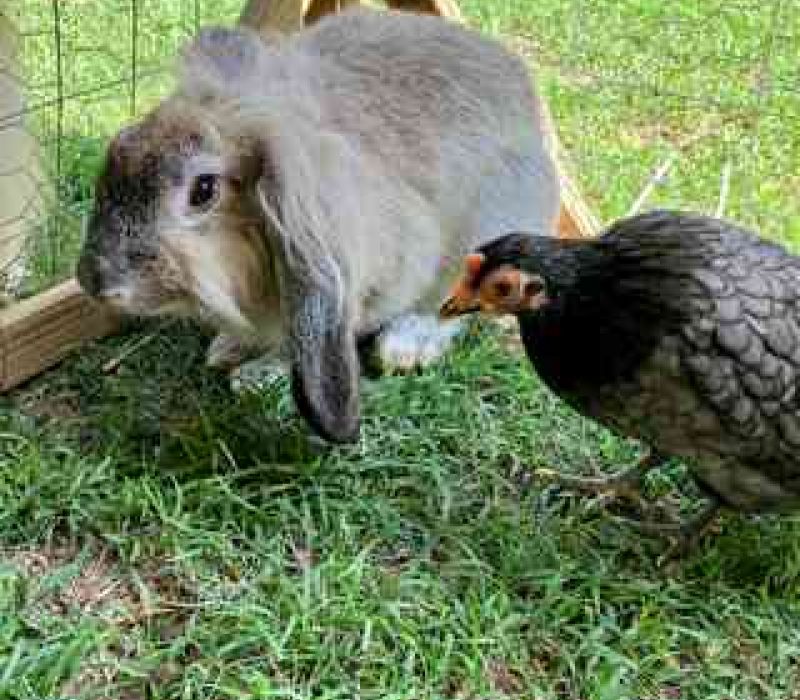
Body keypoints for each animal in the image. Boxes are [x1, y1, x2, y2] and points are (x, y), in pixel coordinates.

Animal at [76, 7, 560, 443]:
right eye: (121, 145)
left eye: (204, 190)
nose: (93, 281)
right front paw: (228, 347)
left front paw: (255, 376)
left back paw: (403, 347)